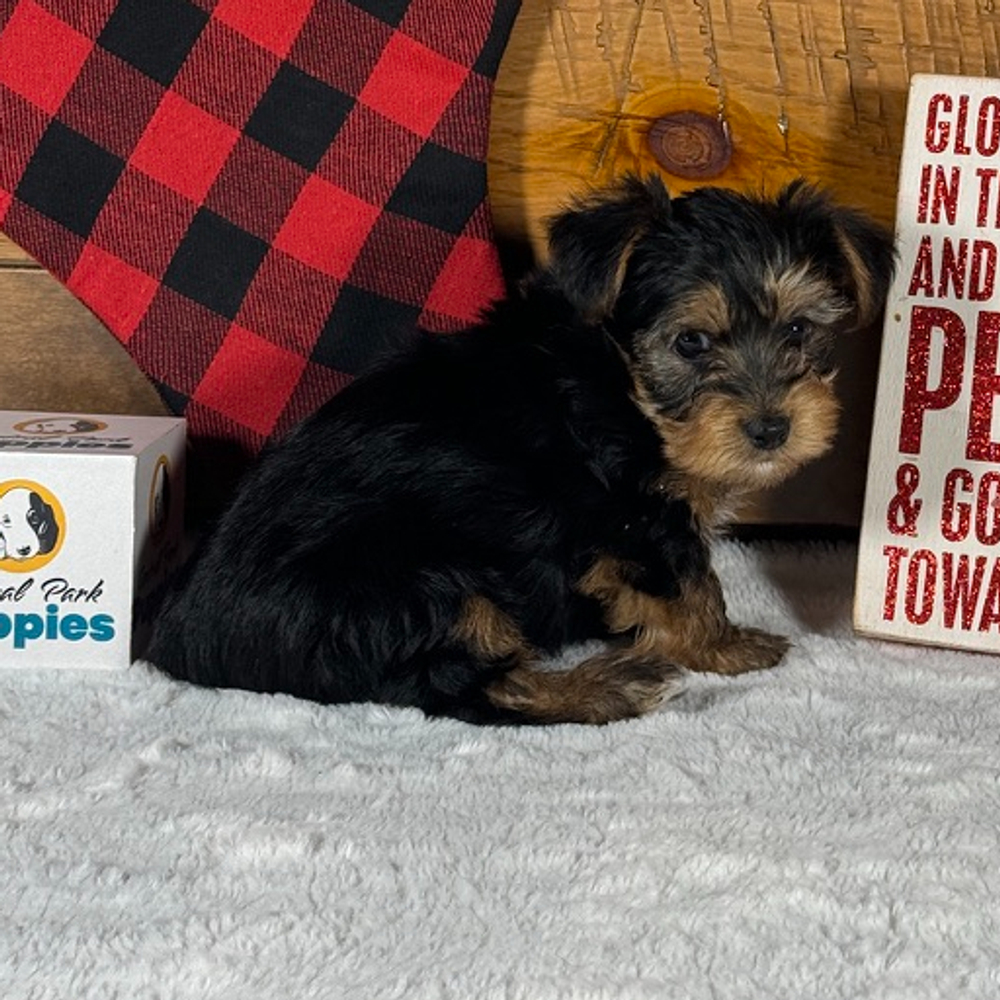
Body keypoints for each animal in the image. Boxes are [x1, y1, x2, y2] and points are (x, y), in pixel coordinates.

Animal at [147, 176, 894, 725]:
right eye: (691, 342)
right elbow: (691, 582)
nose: (771, 429)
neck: (617, 378)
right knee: (456, 688)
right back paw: (610, 687)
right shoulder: (635, 512)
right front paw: (726, 644)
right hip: (418, 584)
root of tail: (179, 634)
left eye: (798, 330)